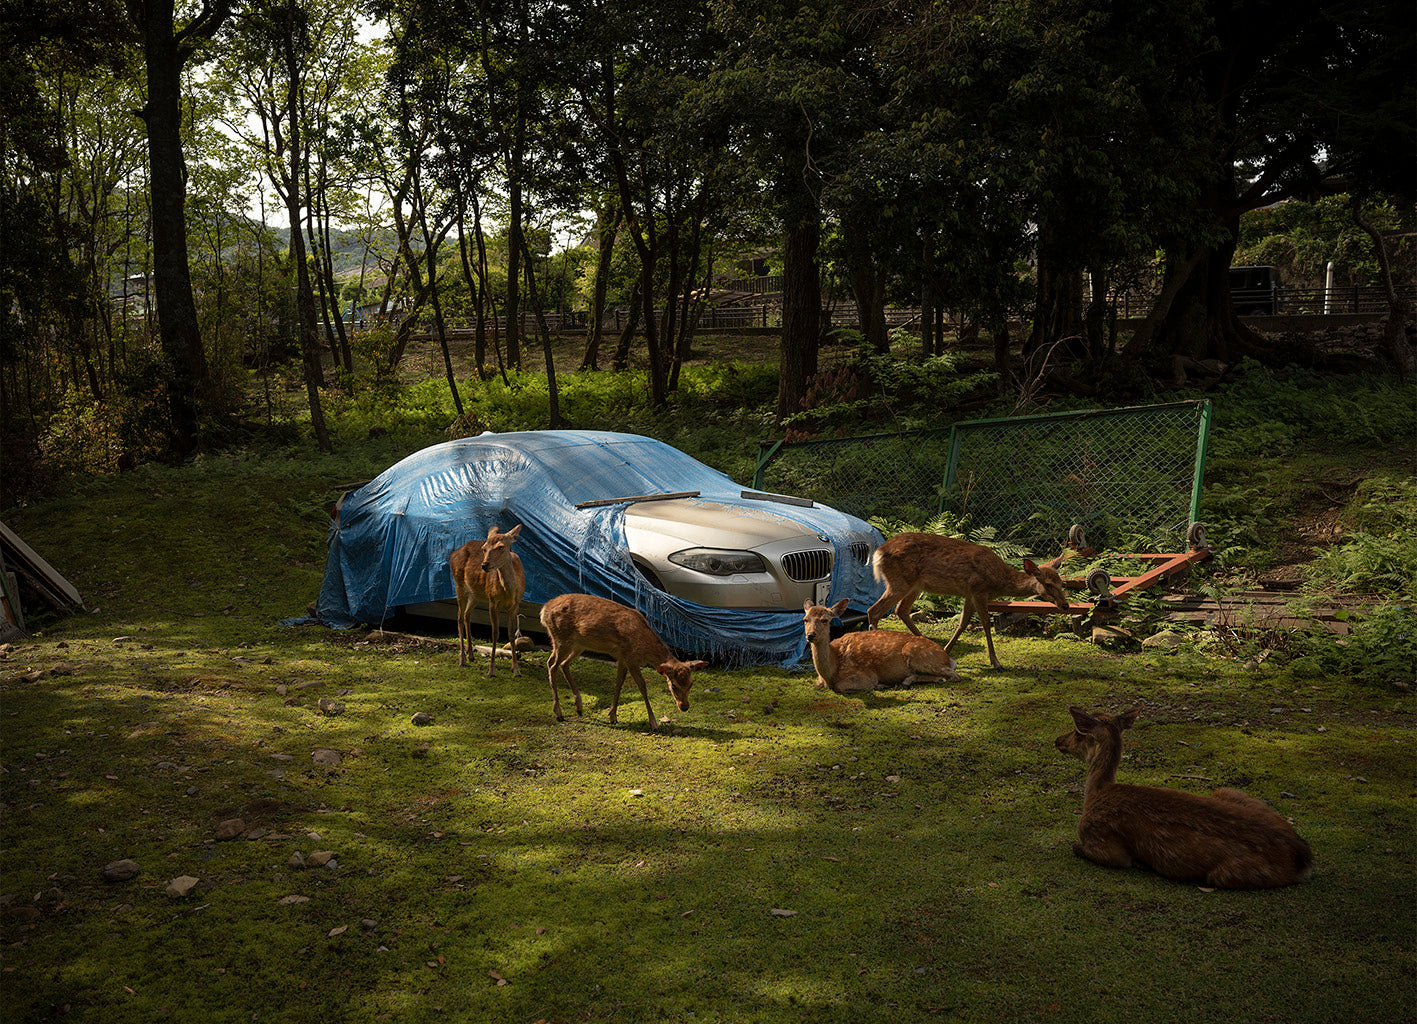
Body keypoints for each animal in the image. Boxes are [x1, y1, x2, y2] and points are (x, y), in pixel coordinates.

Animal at [449, 524, 526, 677]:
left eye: (501, 547)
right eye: (484, 548)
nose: (484, 565)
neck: (509, 591)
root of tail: (452, 554)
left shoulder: (515, 605)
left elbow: (511, 634)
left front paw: (516, 670)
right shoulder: (492, 601)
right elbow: (495, 634)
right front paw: (491, 671)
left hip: (475, 594)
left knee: (466, 615)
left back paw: (471, 655)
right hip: (459, 585)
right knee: (459, 617)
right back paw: (462, 660)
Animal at [538, 593, 708, 731]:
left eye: (691, 684)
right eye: (673, 685)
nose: (684, 706)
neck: (644, 647)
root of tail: (544, 610)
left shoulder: (622, 658)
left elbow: (619, 683)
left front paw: (613, 716)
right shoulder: (631, 658)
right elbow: (642, 686)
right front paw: (654, 724)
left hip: (579, 644)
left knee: (563, 664)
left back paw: (579, 708)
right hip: (561, 638)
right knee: (551, 664)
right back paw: (558, 713)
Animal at [803, 599, 960, 692]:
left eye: (825, 620)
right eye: (805, 619)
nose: (810, 635)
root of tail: (949, 658)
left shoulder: (865, 675)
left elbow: (840, 686)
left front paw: (879, 685)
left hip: (919, 654)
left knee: (956, 676)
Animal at [866, 533, 1072, 668]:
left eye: (1061, 582)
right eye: (1047, 584)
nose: (1065, 605)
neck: (999, 580)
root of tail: (879, 552)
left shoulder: (969, 594)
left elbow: (962, 624)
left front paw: (946, 651)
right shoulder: (979, 589)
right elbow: (986, 624)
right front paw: (996, 662)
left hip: (915, 586)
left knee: (900, 610)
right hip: (900, 581)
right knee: (874, 610)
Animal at [1055, 704, 1314, 889]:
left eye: (1077, 732)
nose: (1057, 740)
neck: (1097, 792)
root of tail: (1303, 856)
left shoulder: (1103, 842)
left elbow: (1078, 847)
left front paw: (1140, 862)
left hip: (1225, 874)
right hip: (1226, 792)